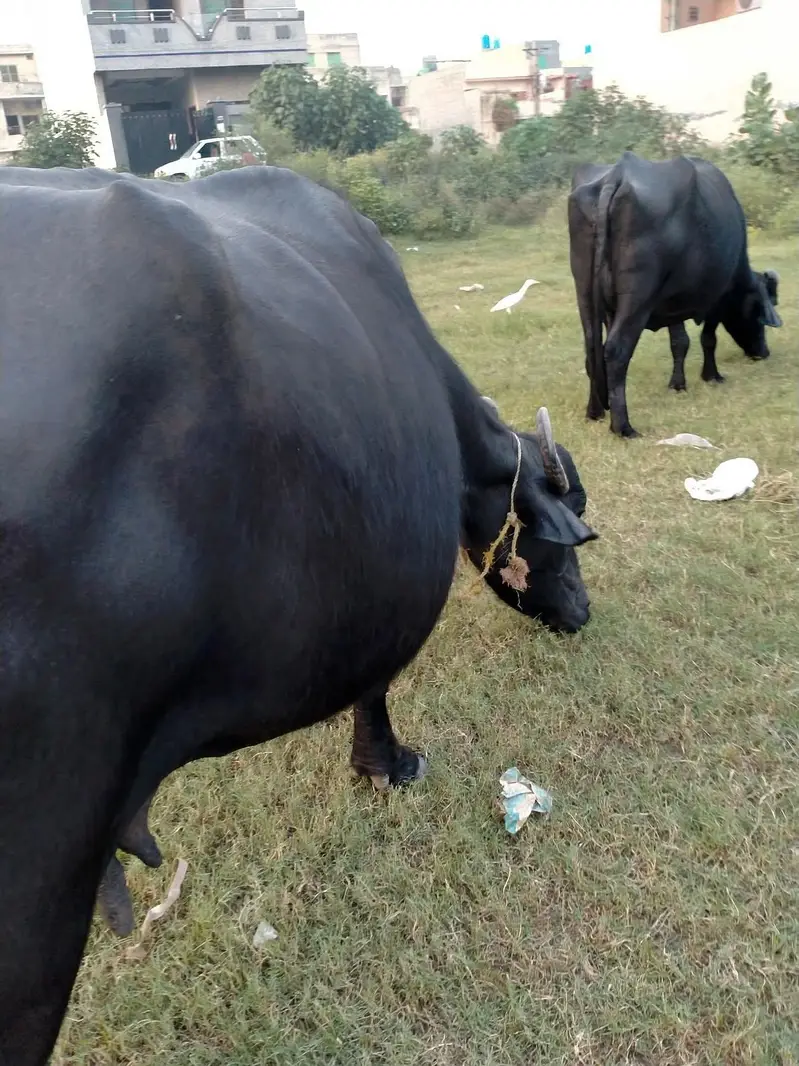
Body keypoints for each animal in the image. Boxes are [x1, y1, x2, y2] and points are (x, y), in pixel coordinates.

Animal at [568, 152, 782, 438]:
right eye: (759, 313)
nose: (763, 352)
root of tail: (617, 174)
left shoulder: (670, 302)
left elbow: (679, 342)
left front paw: (677, 384)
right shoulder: (715, 298)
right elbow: (707, 339)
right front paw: (711, 375)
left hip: (584, 290)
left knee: (592, 346)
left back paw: (595, 411)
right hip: (637, 299)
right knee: (615, 350)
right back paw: (623, 426)